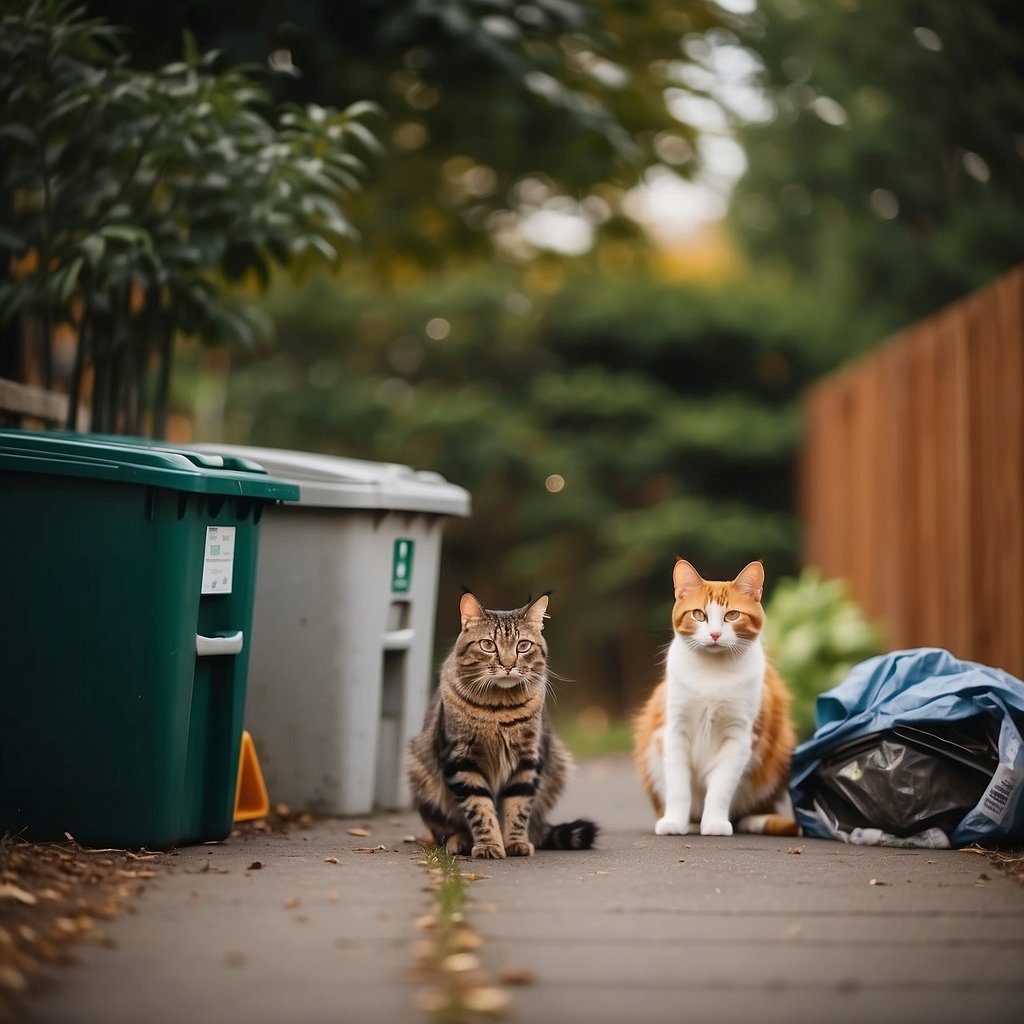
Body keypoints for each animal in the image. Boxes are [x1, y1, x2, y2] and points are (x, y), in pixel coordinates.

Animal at [407, 593, 598, 856]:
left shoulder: (527, 758)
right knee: (443, 830)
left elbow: (518, 806)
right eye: (488, 645)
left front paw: (514, 842)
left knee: (534, 826)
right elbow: (480, 808)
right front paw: (489, 845)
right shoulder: (461, 759)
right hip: (420, 772)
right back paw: (460, 841)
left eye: (523, 645)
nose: (508, 665)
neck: (499, 708)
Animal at [630, 561, 798, 839]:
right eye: (699, 615)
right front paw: (675, 821)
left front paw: (715, 823)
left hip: (781, 750)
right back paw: (689, 822)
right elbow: (678, 788)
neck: (712, 672)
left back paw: (752, 821)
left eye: (732, 615)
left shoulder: (738, 738)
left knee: (755, 809)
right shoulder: (675, 731)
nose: (716, 634)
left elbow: (721, 788)